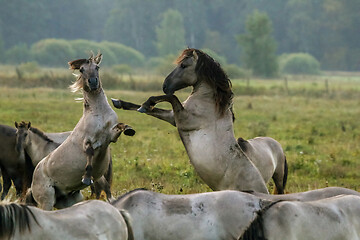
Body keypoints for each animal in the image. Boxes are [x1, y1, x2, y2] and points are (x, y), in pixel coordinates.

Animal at [112, 48, 286, 193]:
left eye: (183, 65)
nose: (165, 85)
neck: (210, 103)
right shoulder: (174, 118)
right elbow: (153, 109)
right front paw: (121, 103)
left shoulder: (184, 119)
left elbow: (171, 97)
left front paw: (148, 103)